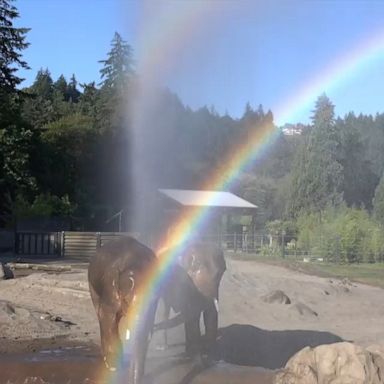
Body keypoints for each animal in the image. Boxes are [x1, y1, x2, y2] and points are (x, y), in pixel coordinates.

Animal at [88, 236, 158, 382]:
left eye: (153, 301)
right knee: (100, 314)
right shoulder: (109, 286)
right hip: (92, 283)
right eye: (126, 300)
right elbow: (107, 316)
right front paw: (113, 367)